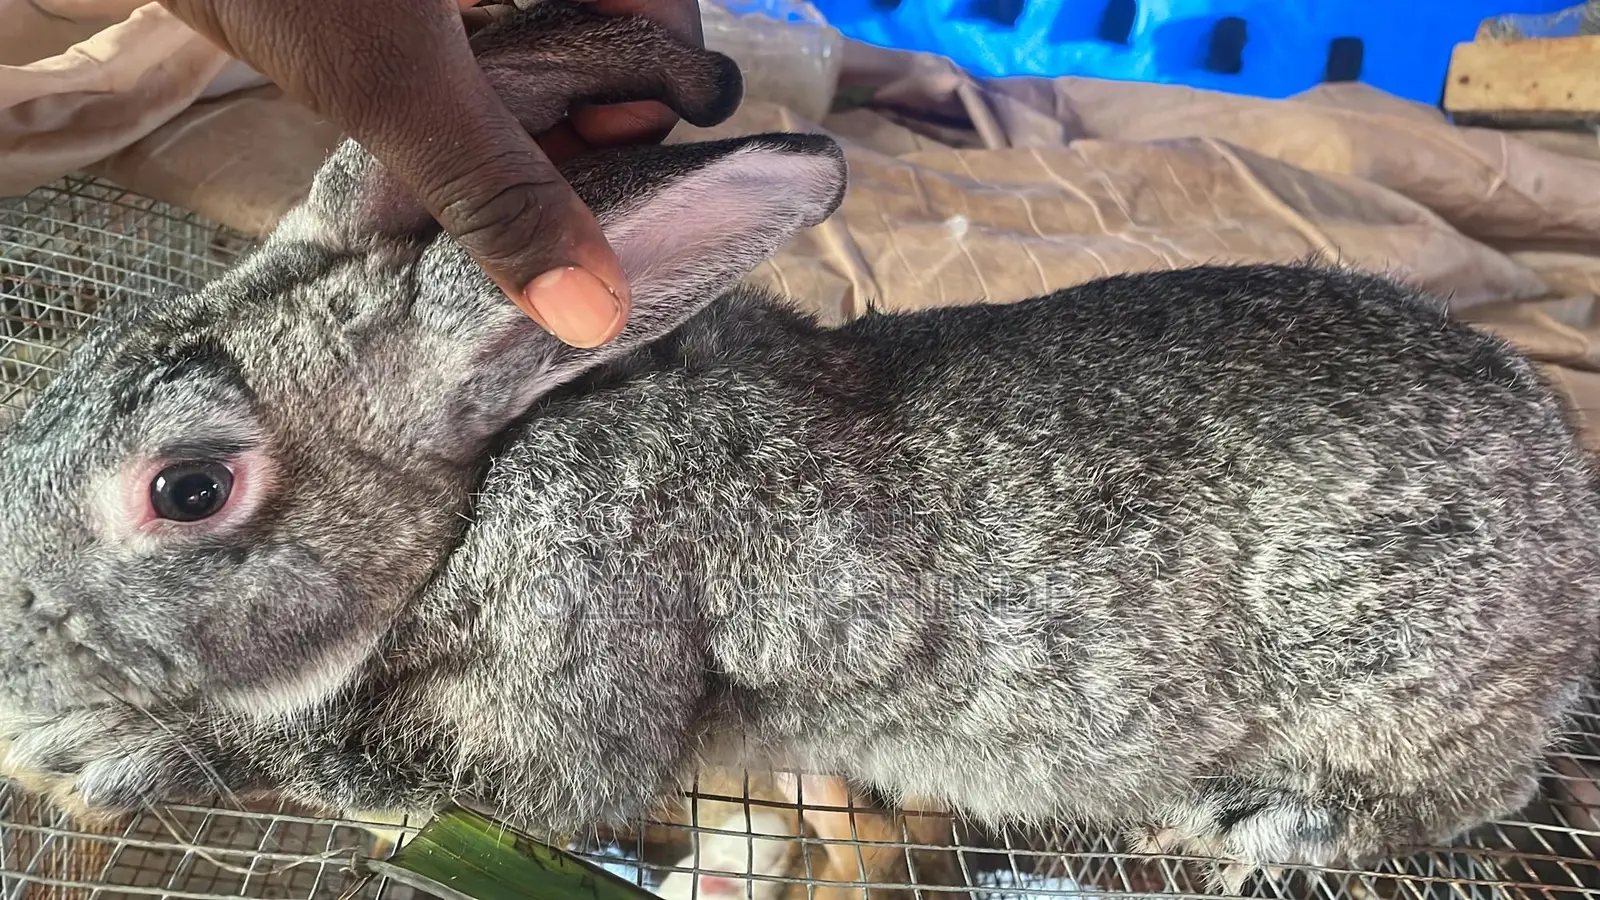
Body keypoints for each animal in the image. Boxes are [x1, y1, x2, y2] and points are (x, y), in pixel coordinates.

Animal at [1, 1, 1598, 894]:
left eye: (189, 489)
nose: (13, 665)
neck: (487, 488)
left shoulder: (575, 675)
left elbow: (348, 752)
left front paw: (86, 754)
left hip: (1393, 687)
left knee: (1458, 795)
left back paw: (1251, 827)